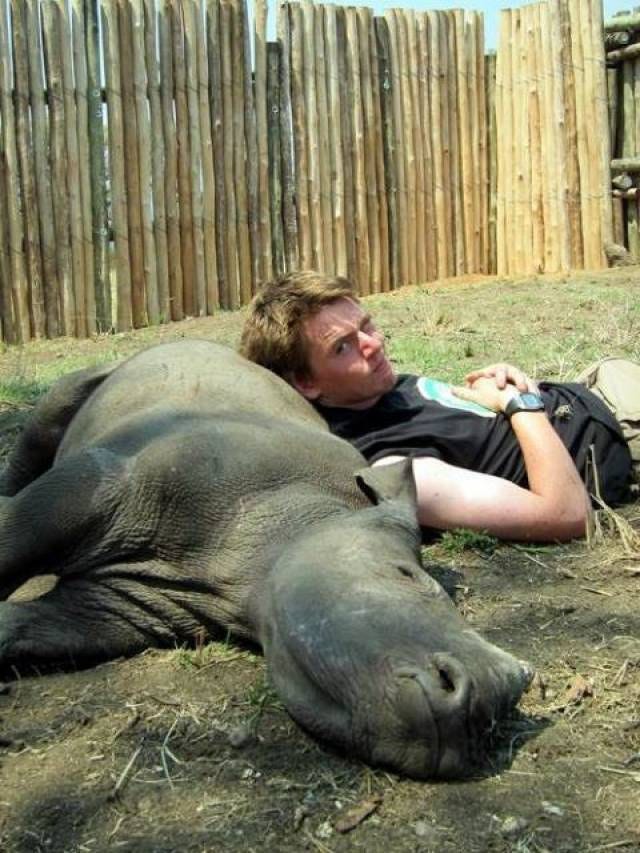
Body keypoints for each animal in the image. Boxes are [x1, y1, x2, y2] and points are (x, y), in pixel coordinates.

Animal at [0, 340, 532, 778]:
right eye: (405, 576)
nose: (491, 704)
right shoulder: (110, 480)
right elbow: (18, 534)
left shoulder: (138, 603)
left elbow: (34, 628)